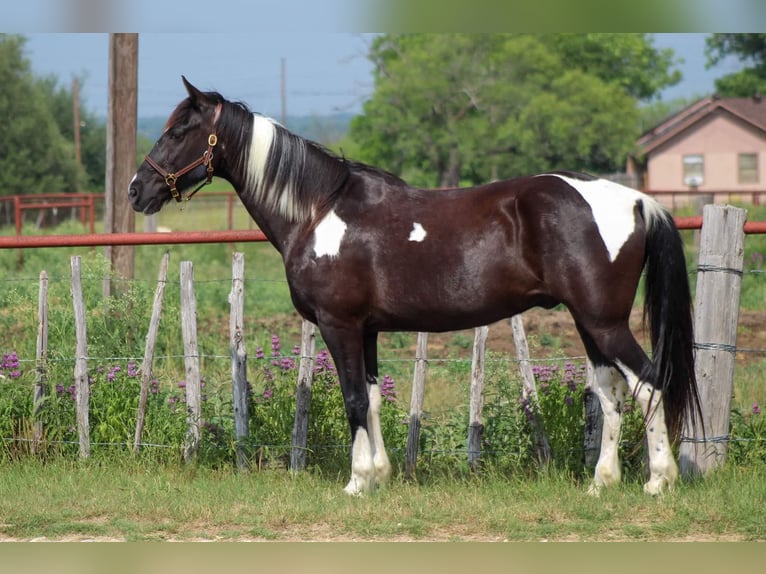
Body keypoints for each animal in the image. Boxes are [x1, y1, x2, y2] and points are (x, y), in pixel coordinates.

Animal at [129, 76, 704, 498]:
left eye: (178, 131)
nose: (137, 190)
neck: (318, 210)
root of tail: (635, 200)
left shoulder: (340, 325)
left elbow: (353, 399)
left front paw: (356, 483)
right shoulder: (366, 330)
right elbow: (372, 398)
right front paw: (380, 475)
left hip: (603, 322)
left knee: (649, 384)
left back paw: (658, 481)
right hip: (590, 323)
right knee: (611, 394)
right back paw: (601, 483)